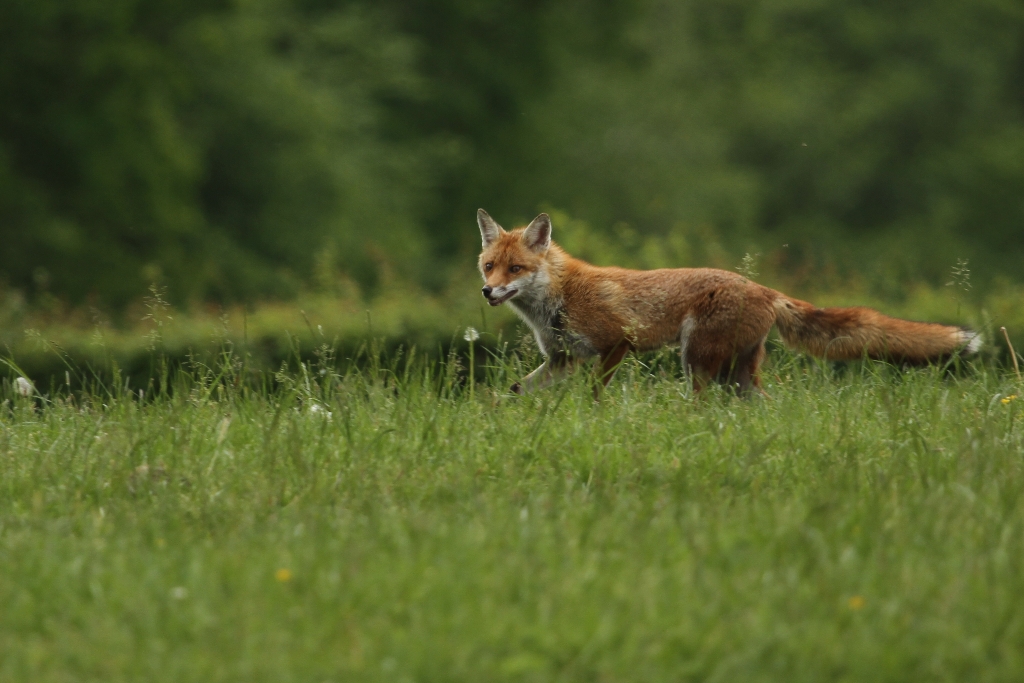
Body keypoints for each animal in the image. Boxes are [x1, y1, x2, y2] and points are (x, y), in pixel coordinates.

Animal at [479, 210, 983, 397]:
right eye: (488, 267)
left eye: (515, 269)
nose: (487, 292)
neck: (557, 301)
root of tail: (765, 289)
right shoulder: (561, 359)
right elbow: (516, 390)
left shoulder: (617, 343)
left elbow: (597, 394)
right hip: (735, 374)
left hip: (698, 361)